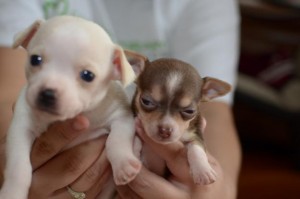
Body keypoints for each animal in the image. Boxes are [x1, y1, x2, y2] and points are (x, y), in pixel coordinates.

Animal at [0, 15, 141, 199]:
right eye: (35, 59)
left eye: (88, 75)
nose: (47, 94)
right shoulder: (20, 128)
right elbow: (18, 166)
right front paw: (12, 192)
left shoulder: (121, 116)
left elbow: (117, 140)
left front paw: (123, 164)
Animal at [129, 55, 232, 185]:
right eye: (146, 101)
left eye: (190, 111)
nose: (165, 130)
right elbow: (135, 136)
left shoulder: (195, 134)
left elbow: (196, 148)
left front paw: (203, 170)